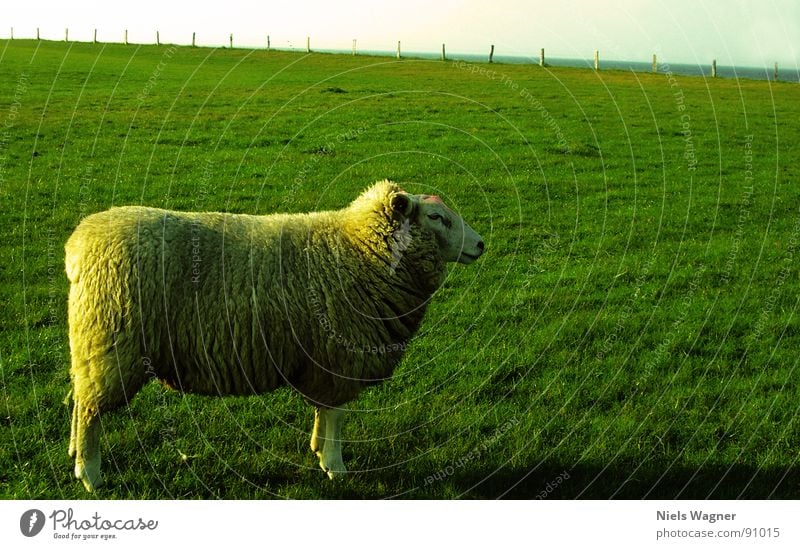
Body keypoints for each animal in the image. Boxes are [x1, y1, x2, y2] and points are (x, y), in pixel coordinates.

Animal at [65, 178, 484, 490]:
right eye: (437, 217)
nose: (481, 244)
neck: (359, 251)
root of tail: (80, 244)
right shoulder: (340, 354)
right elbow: (336, 413)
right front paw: (335, 465)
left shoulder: (323, 359)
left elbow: (324, 410)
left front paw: (318, 449)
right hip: (111, 342)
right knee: (90, 410)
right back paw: (90, 474)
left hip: (92, 345)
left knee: (80, 399)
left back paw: (73, 453)